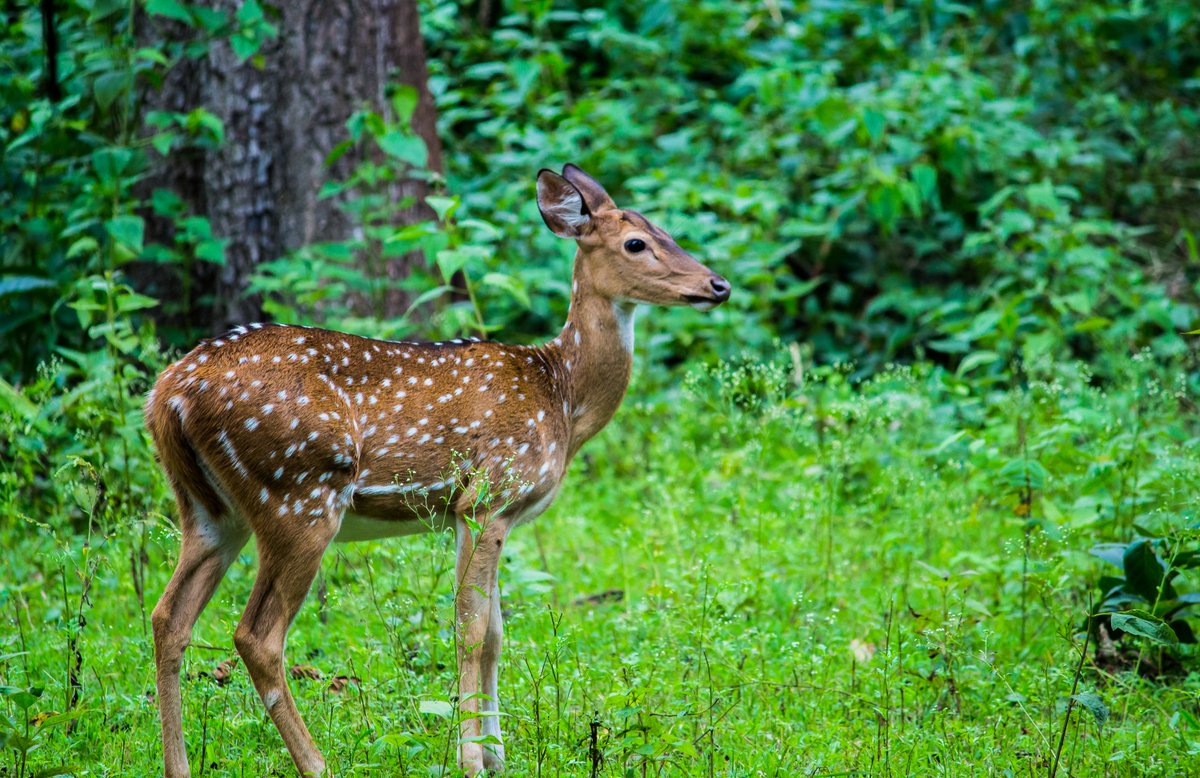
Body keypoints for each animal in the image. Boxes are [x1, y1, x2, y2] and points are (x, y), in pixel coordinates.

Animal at [145, 164, 731, 777]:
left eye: (667, 231)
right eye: (636, 242)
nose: (718, 285)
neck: (562, 397)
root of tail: (169, 394)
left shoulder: (468, 513)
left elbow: (494, 631)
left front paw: (497, 755)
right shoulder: (488, 495)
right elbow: (471, 630)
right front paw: (472, 758)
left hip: (210, 509)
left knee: (168, 618)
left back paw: (178, 765)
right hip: (297, 494)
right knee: (256, 635)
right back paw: (318, 763)